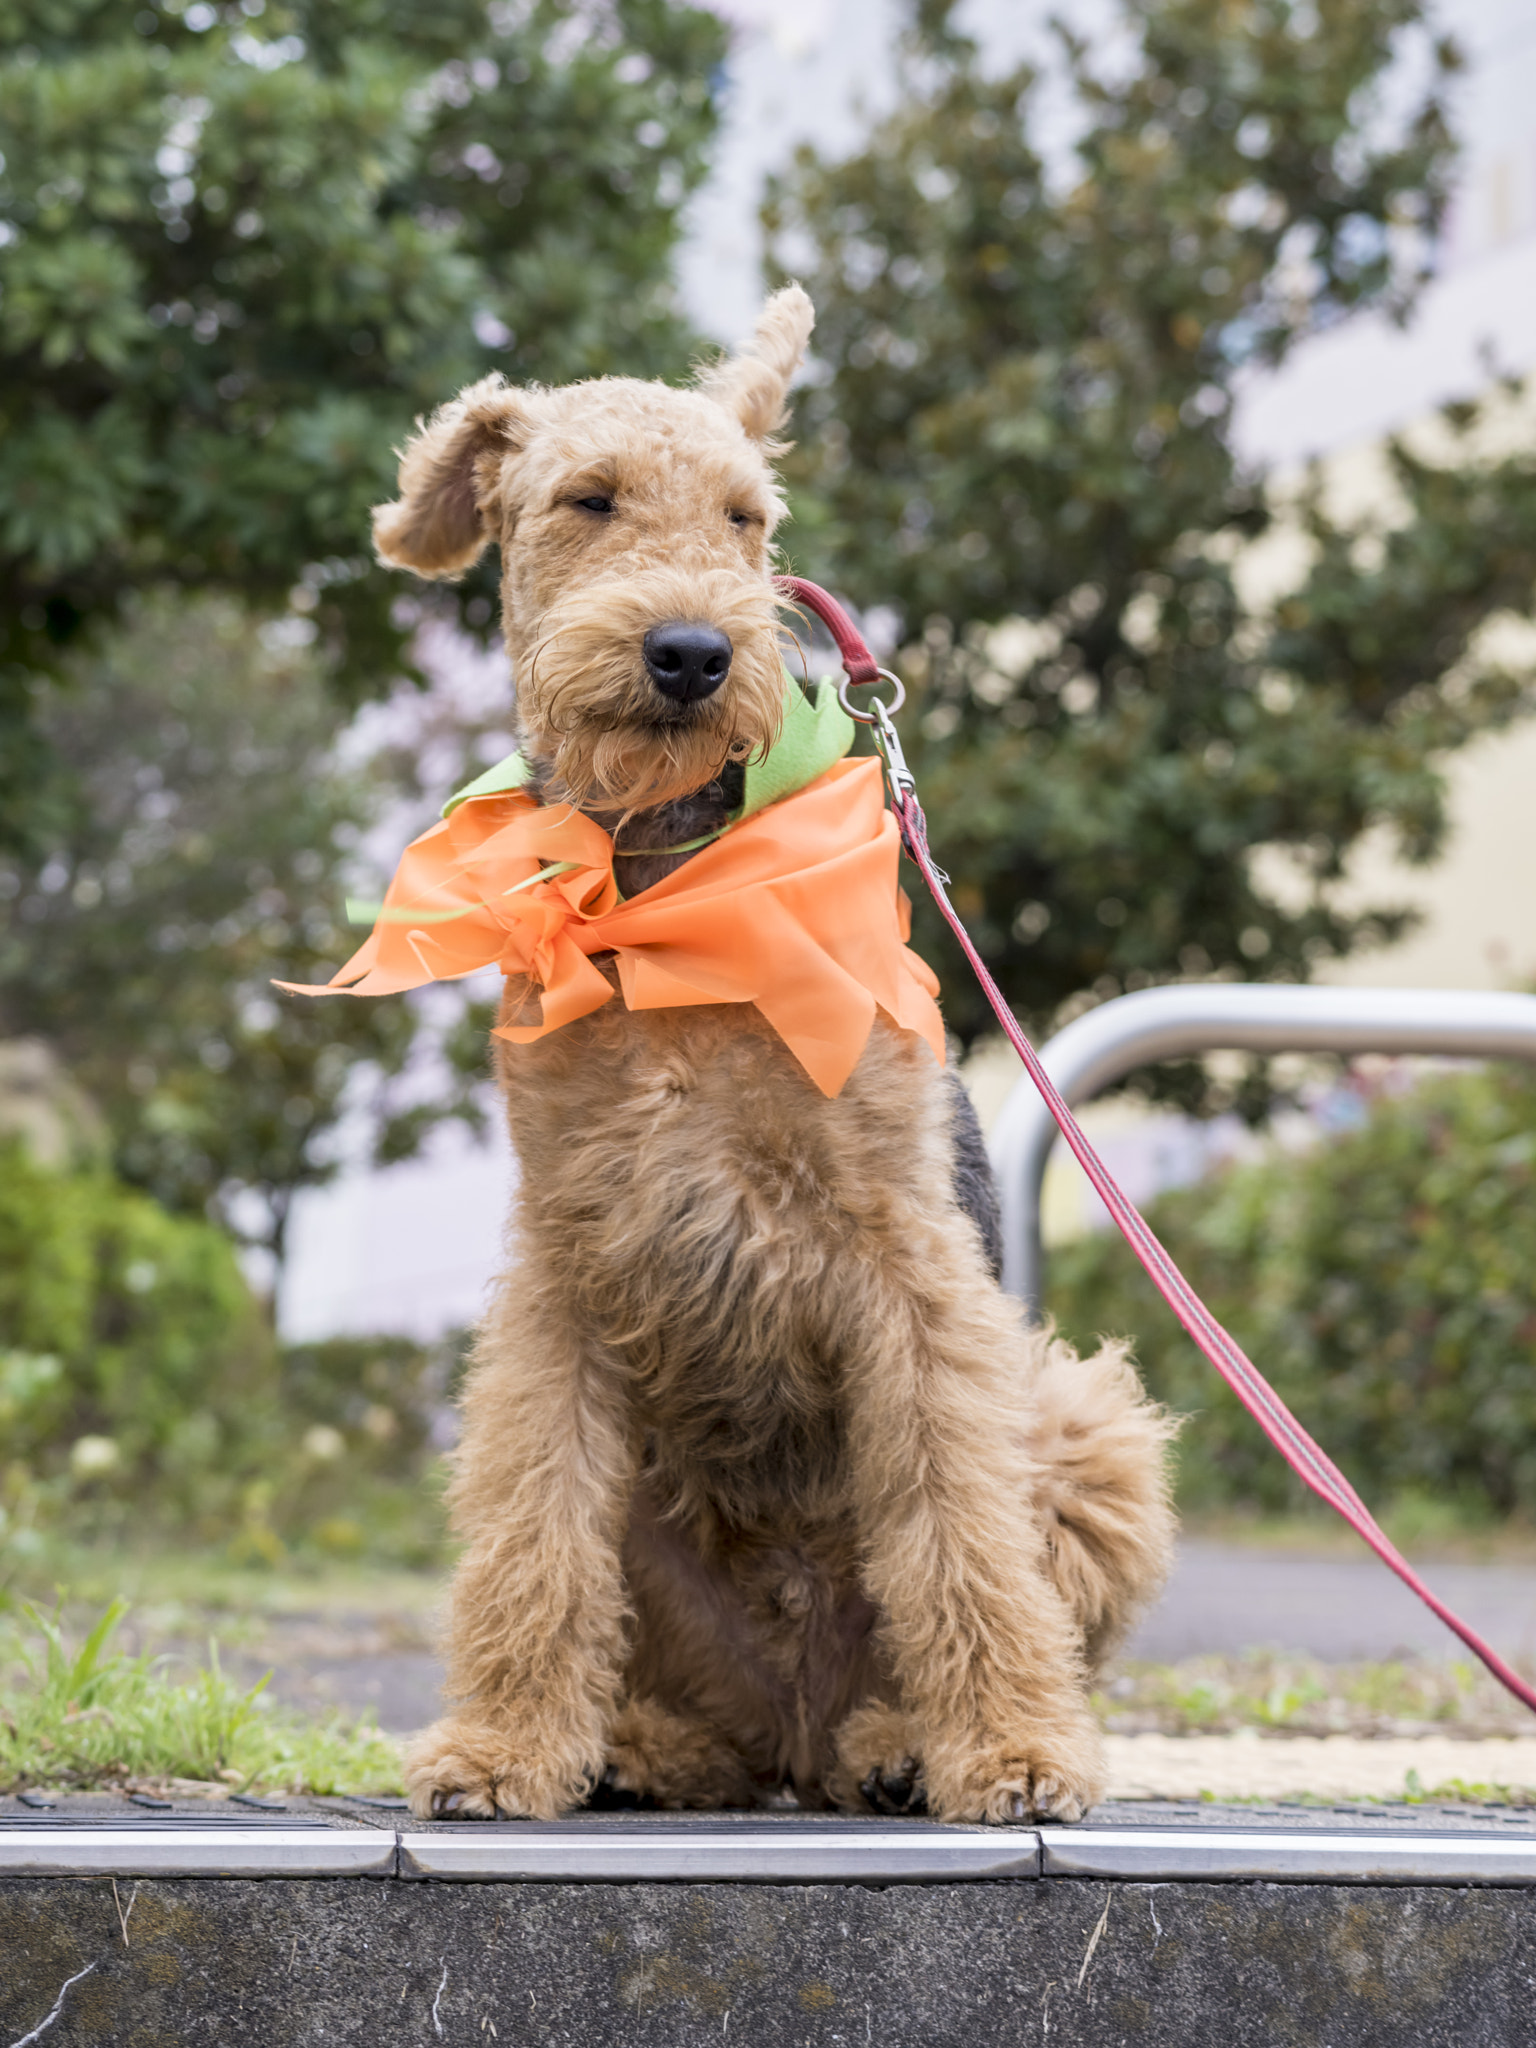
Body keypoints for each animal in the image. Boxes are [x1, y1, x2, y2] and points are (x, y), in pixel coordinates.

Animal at [370, 276, 1179, 1826]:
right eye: (589, 498)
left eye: (749, 517)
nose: (692, 654)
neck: (672, 882)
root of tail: (800, 1725)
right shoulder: (566, 1260)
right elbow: (531, 1529)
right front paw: (500, 1750)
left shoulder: (905, 1254)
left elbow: (959, 1526)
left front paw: (1016, 1754)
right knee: (694, 1698)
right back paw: (640, 1749)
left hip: (1079, 1420)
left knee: (974, 1594)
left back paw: (910, 1743)